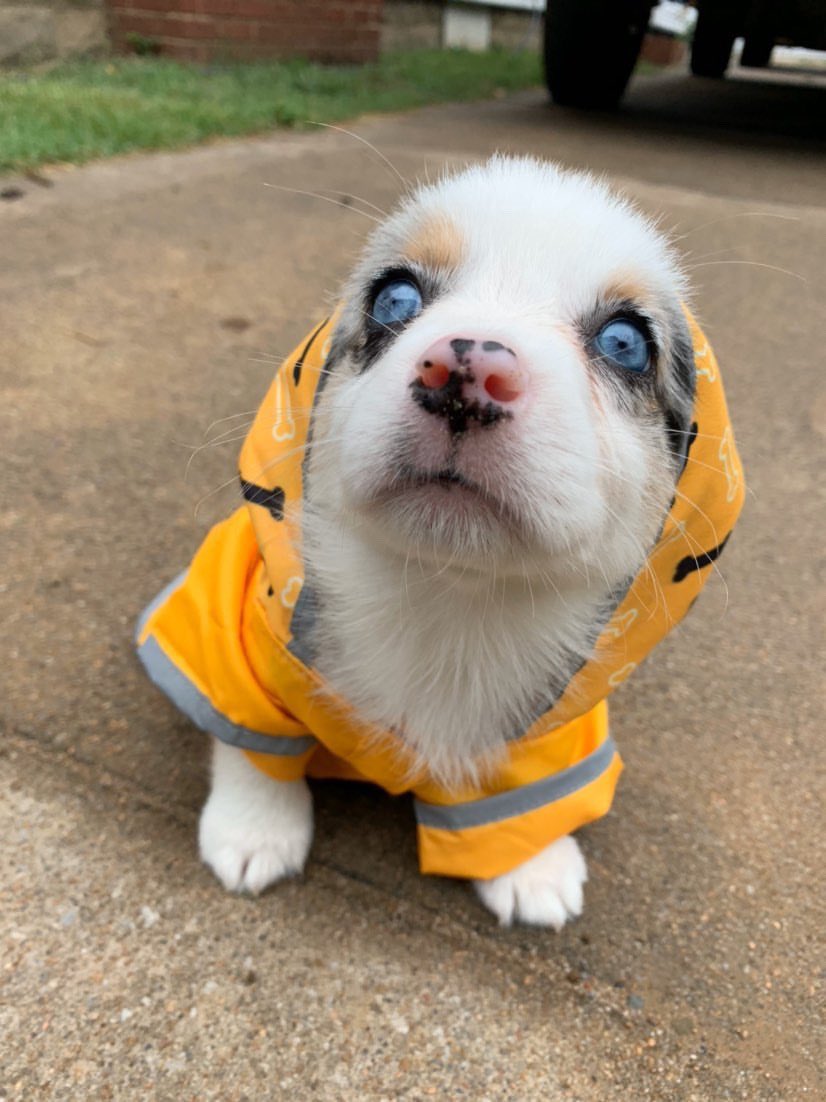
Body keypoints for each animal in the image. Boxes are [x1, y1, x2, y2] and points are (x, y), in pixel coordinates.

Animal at [136, 155, 744, 925]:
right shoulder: (244, 650)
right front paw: (254, 829)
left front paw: (531, 865)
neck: (444, 593)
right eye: (394, 297)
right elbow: (252, 742)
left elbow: (523, 800)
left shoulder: (548, 735)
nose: (466, 372)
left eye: (625, 342)